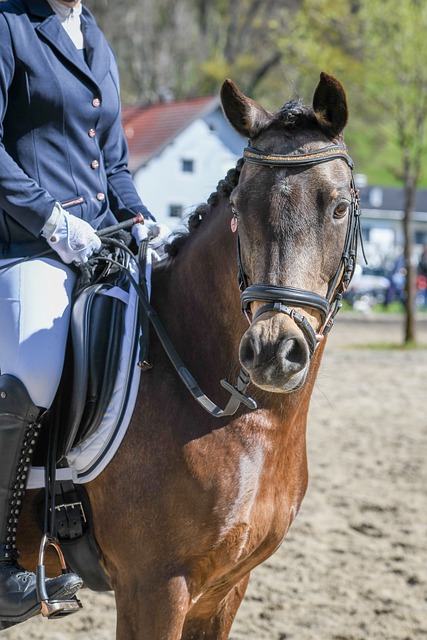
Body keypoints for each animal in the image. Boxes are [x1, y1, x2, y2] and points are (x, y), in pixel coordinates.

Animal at [18, 72, 362, 636]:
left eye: (336, 207)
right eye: (239, 209)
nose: (273, 352)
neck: (248, 417)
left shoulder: (225, 588)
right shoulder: (155, 588)